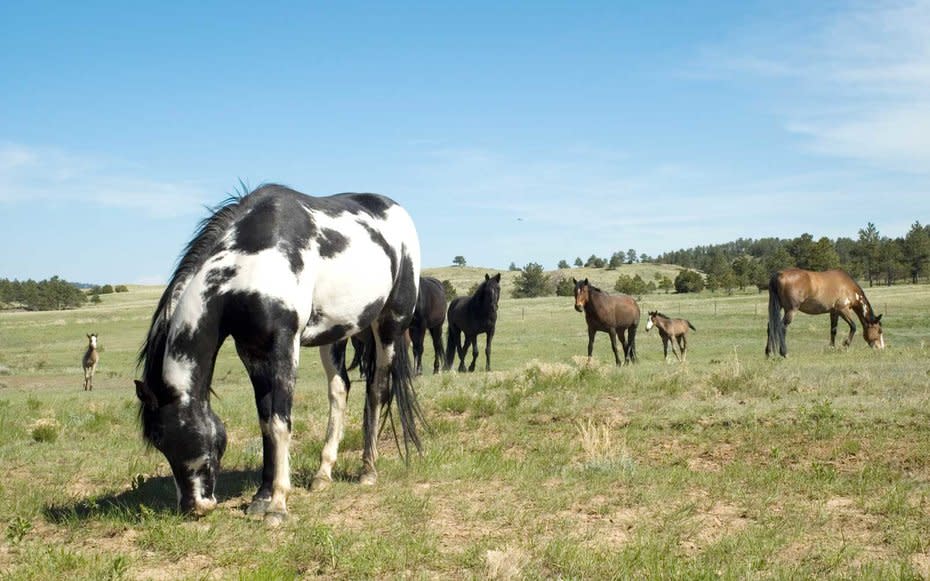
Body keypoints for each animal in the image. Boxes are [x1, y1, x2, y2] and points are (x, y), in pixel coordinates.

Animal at [132, 184, 422, 524]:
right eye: (158, 443)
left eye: (164, 436)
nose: (193, 506)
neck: (250, 261)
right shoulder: (251, 352)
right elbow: (265, 422)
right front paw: (261, 496)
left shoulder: (283, 345)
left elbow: (280, 422)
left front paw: (278, 504)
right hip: (335, 333)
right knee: (340, 389)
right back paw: (323, 474)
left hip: (389, 325)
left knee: (377, 391)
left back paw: (368, 470)